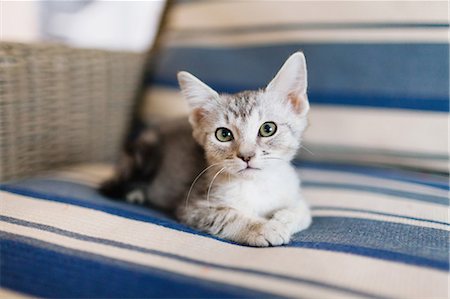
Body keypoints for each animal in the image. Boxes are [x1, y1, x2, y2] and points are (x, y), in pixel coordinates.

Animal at [101, 52, 312, 248]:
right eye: (224, 134)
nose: (246, 156)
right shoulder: (194, 207)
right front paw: (264, 227)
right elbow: (227, 217)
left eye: (268, 129)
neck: (257, 185)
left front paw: (285, 217)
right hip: (144, 155)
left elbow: (305, 211)